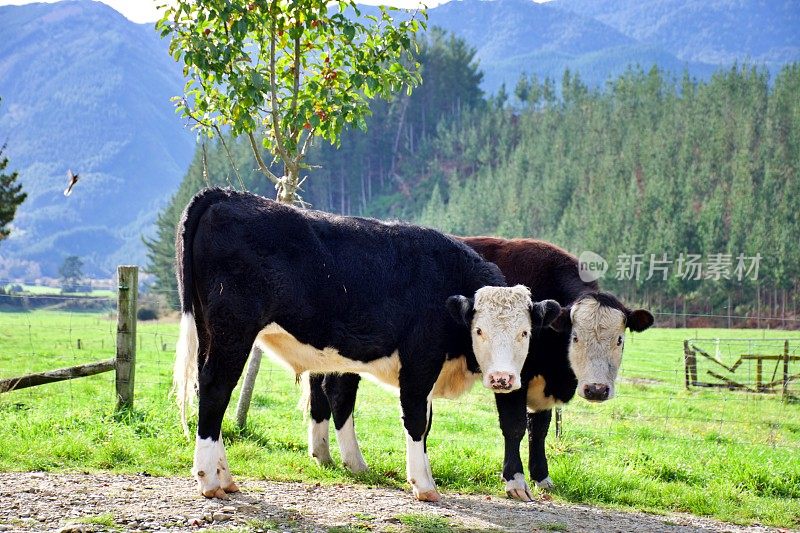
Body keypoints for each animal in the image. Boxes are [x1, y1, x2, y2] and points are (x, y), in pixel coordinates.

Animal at [173, 189, 564, 500]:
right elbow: (417, 420)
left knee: (207, 389)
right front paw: (423, 485)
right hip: (232, 331)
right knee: (216, 387)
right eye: (479, 331)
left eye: (525, 333)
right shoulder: (420, 361)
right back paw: (209, 480)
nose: (501, 379)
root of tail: (226, 195)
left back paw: (224, 476)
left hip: (210, 331)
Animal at [304, 237, 648, 498]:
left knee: (320, 393)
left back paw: (322, 453)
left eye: (619, 339)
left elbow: (539, 430)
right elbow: (515, 426)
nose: (596, 389)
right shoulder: (514, 378)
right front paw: (515, 481)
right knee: (340, 394)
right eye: (575, 337)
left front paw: (542, 477)